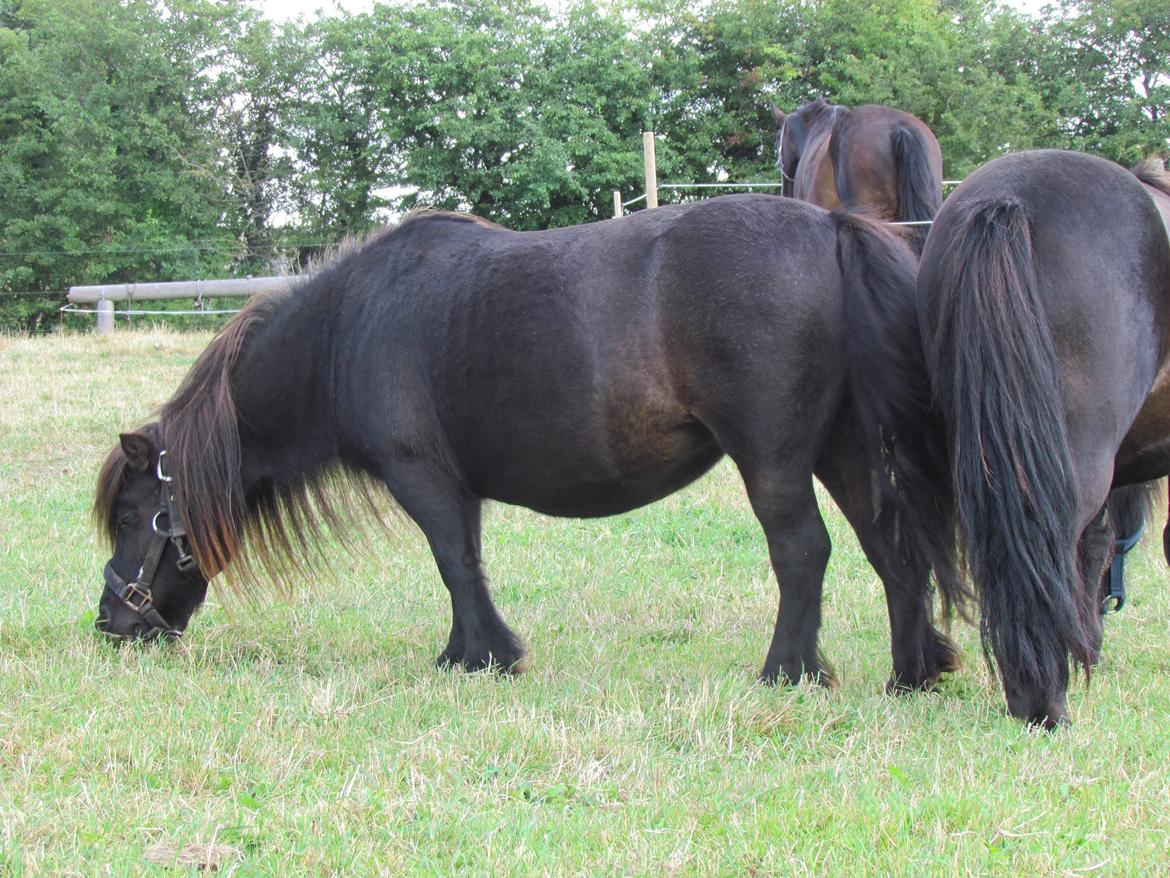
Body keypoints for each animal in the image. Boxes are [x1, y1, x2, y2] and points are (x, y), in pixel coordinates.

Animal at [98, 195, 959, 697]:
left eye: (134, 517)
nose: (112, 625)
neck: (348, 329)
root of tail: (828, 226)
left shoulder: (423, 479)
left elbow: (454, 563)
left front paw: (483, 655)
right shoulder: (454, 487)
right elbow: (468, 562)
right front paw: (469, 651)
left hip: (774, 459)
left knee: (803, 551)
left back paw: (787, 672)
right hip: (845, 447)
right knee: (891, 547)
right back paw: (912, 671)